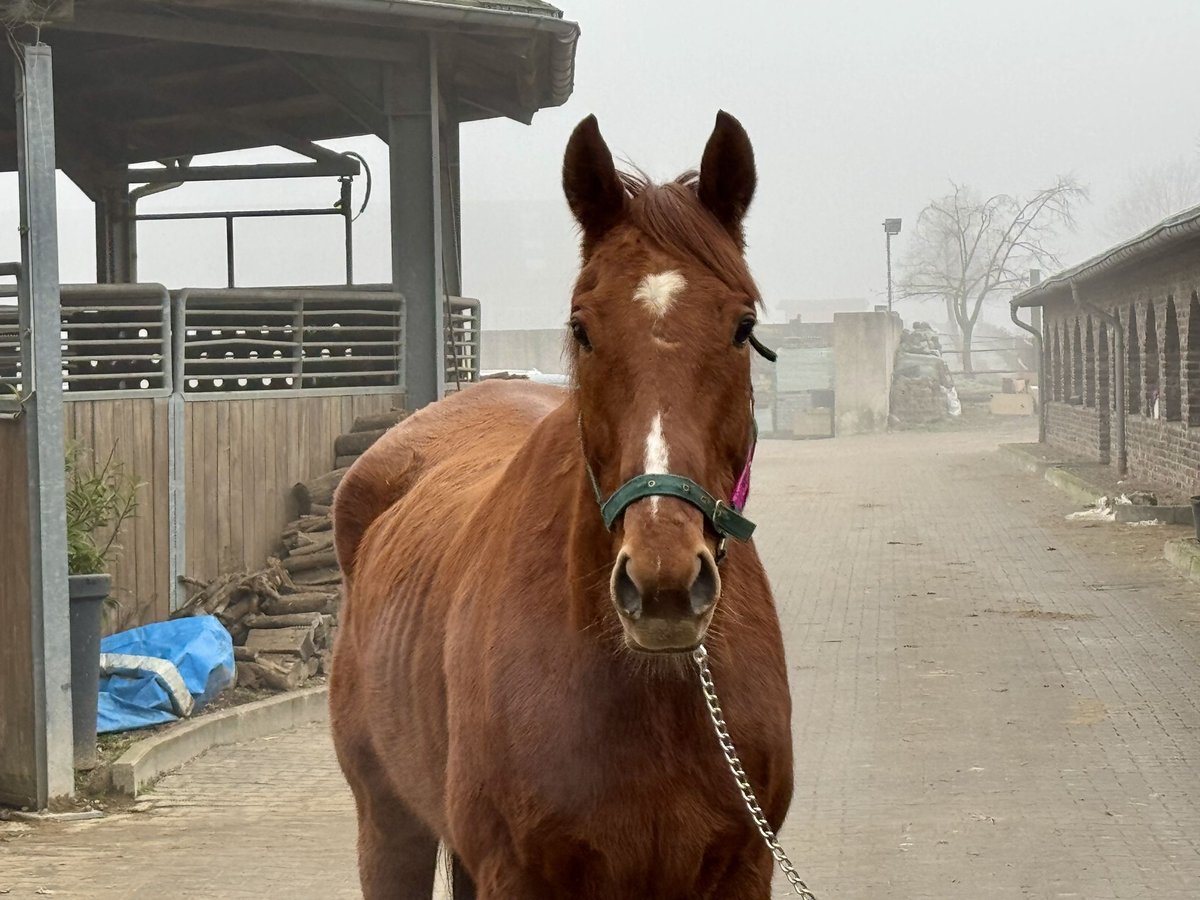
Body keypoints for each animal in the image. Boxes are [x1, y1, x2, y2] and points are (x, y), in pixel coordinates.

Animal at [333, 114, 792, 900]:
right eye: (582, 326)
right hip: (388, 830)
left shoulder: (744, 868)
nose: (664, 584)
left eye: (742, 326)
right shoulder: (517, 874)